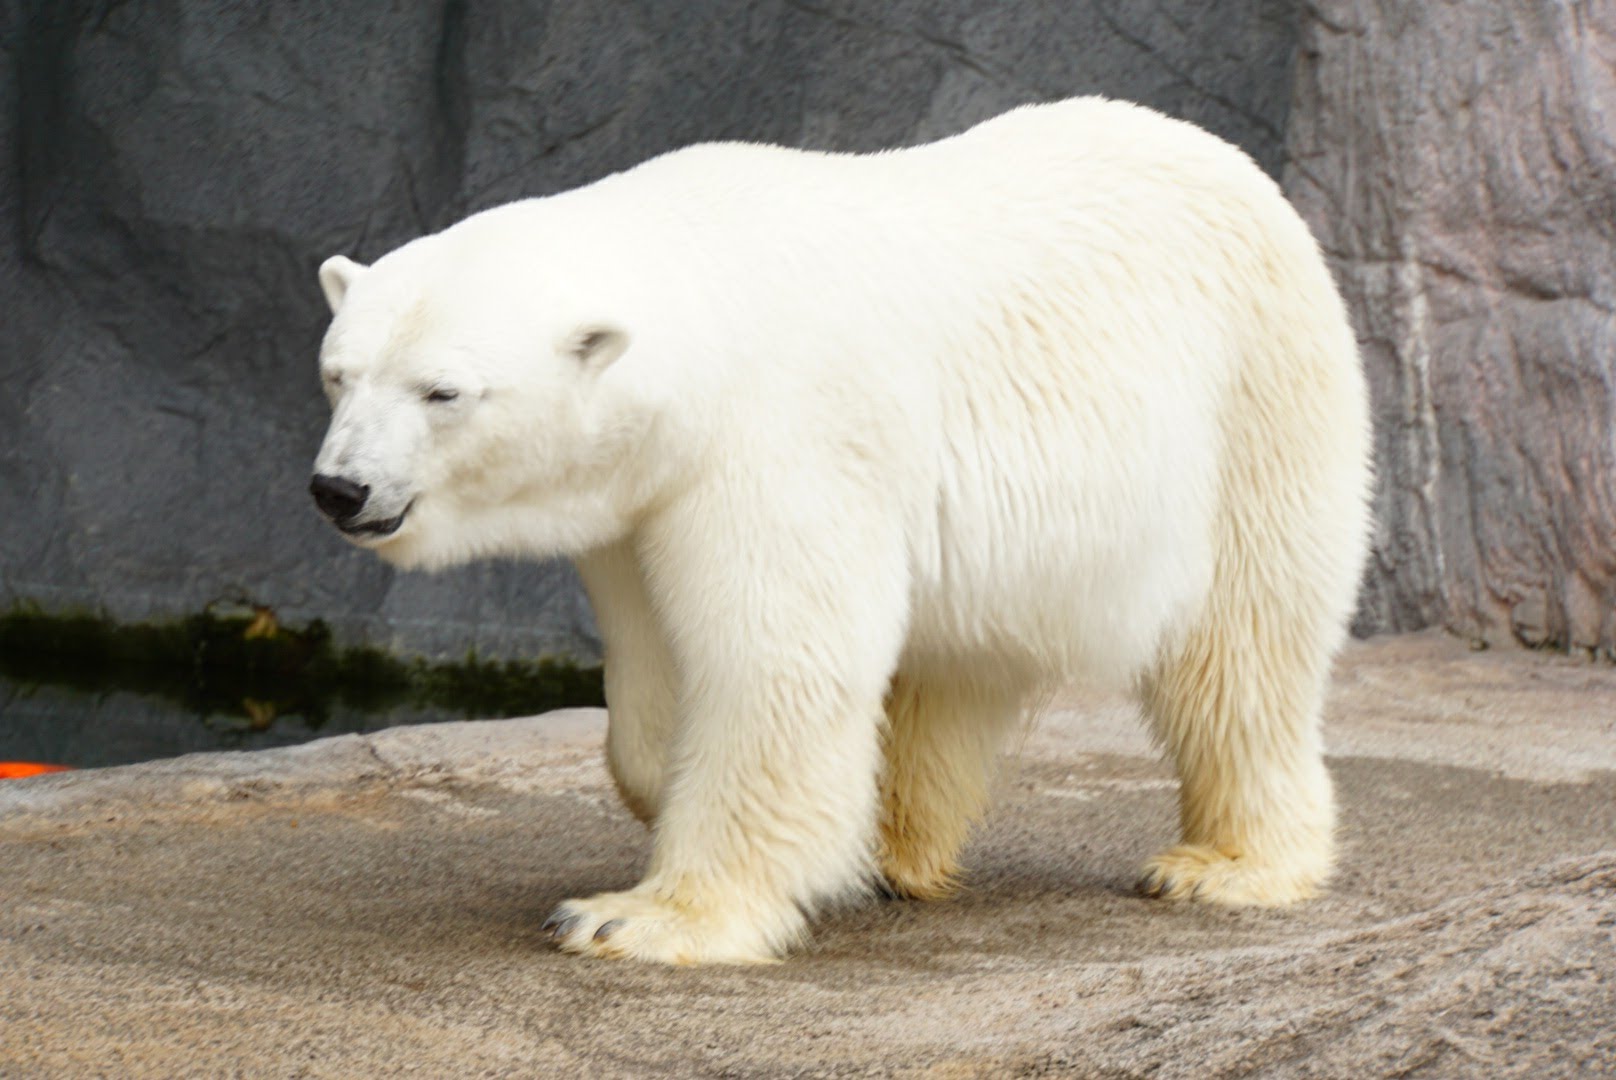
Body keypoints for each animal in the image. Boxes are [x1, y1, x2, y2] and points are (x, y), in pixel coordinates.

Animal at [308, 97, 1370, 963]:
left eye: (442, 391)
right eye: (337, 374)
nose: (339, 488)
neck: (705, 292)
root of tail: (1242, 174)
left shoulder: (776, 439)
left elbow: (778, 663)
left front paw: (634, 917)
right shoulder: (640, 495)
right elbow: (653, 672)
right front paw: (675, 795)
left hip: (1254, 401)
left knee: (1242, 648)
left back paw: (1225, 863)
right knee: (956, 661)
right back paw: (894, 849)